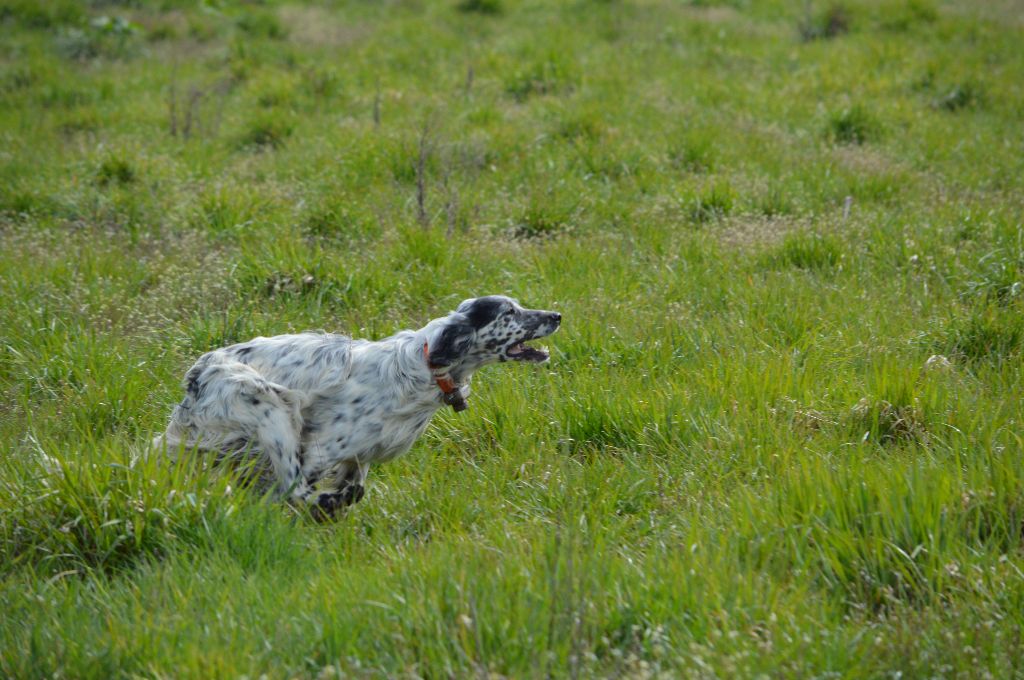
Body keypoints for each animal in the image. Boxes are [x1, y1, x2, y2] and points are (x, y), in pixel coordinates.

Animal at [153, 294, 561, 518]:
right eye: (509, 313)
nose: (556, 315)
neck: (426, 365)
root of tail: (197, 374)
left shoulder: (358, 455)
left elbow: (356, 487)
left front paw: (338, 503)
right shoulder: (318, 450)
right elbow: (304, 488)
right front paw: (326, 507)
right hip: (270, 402)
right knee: (292, 485)